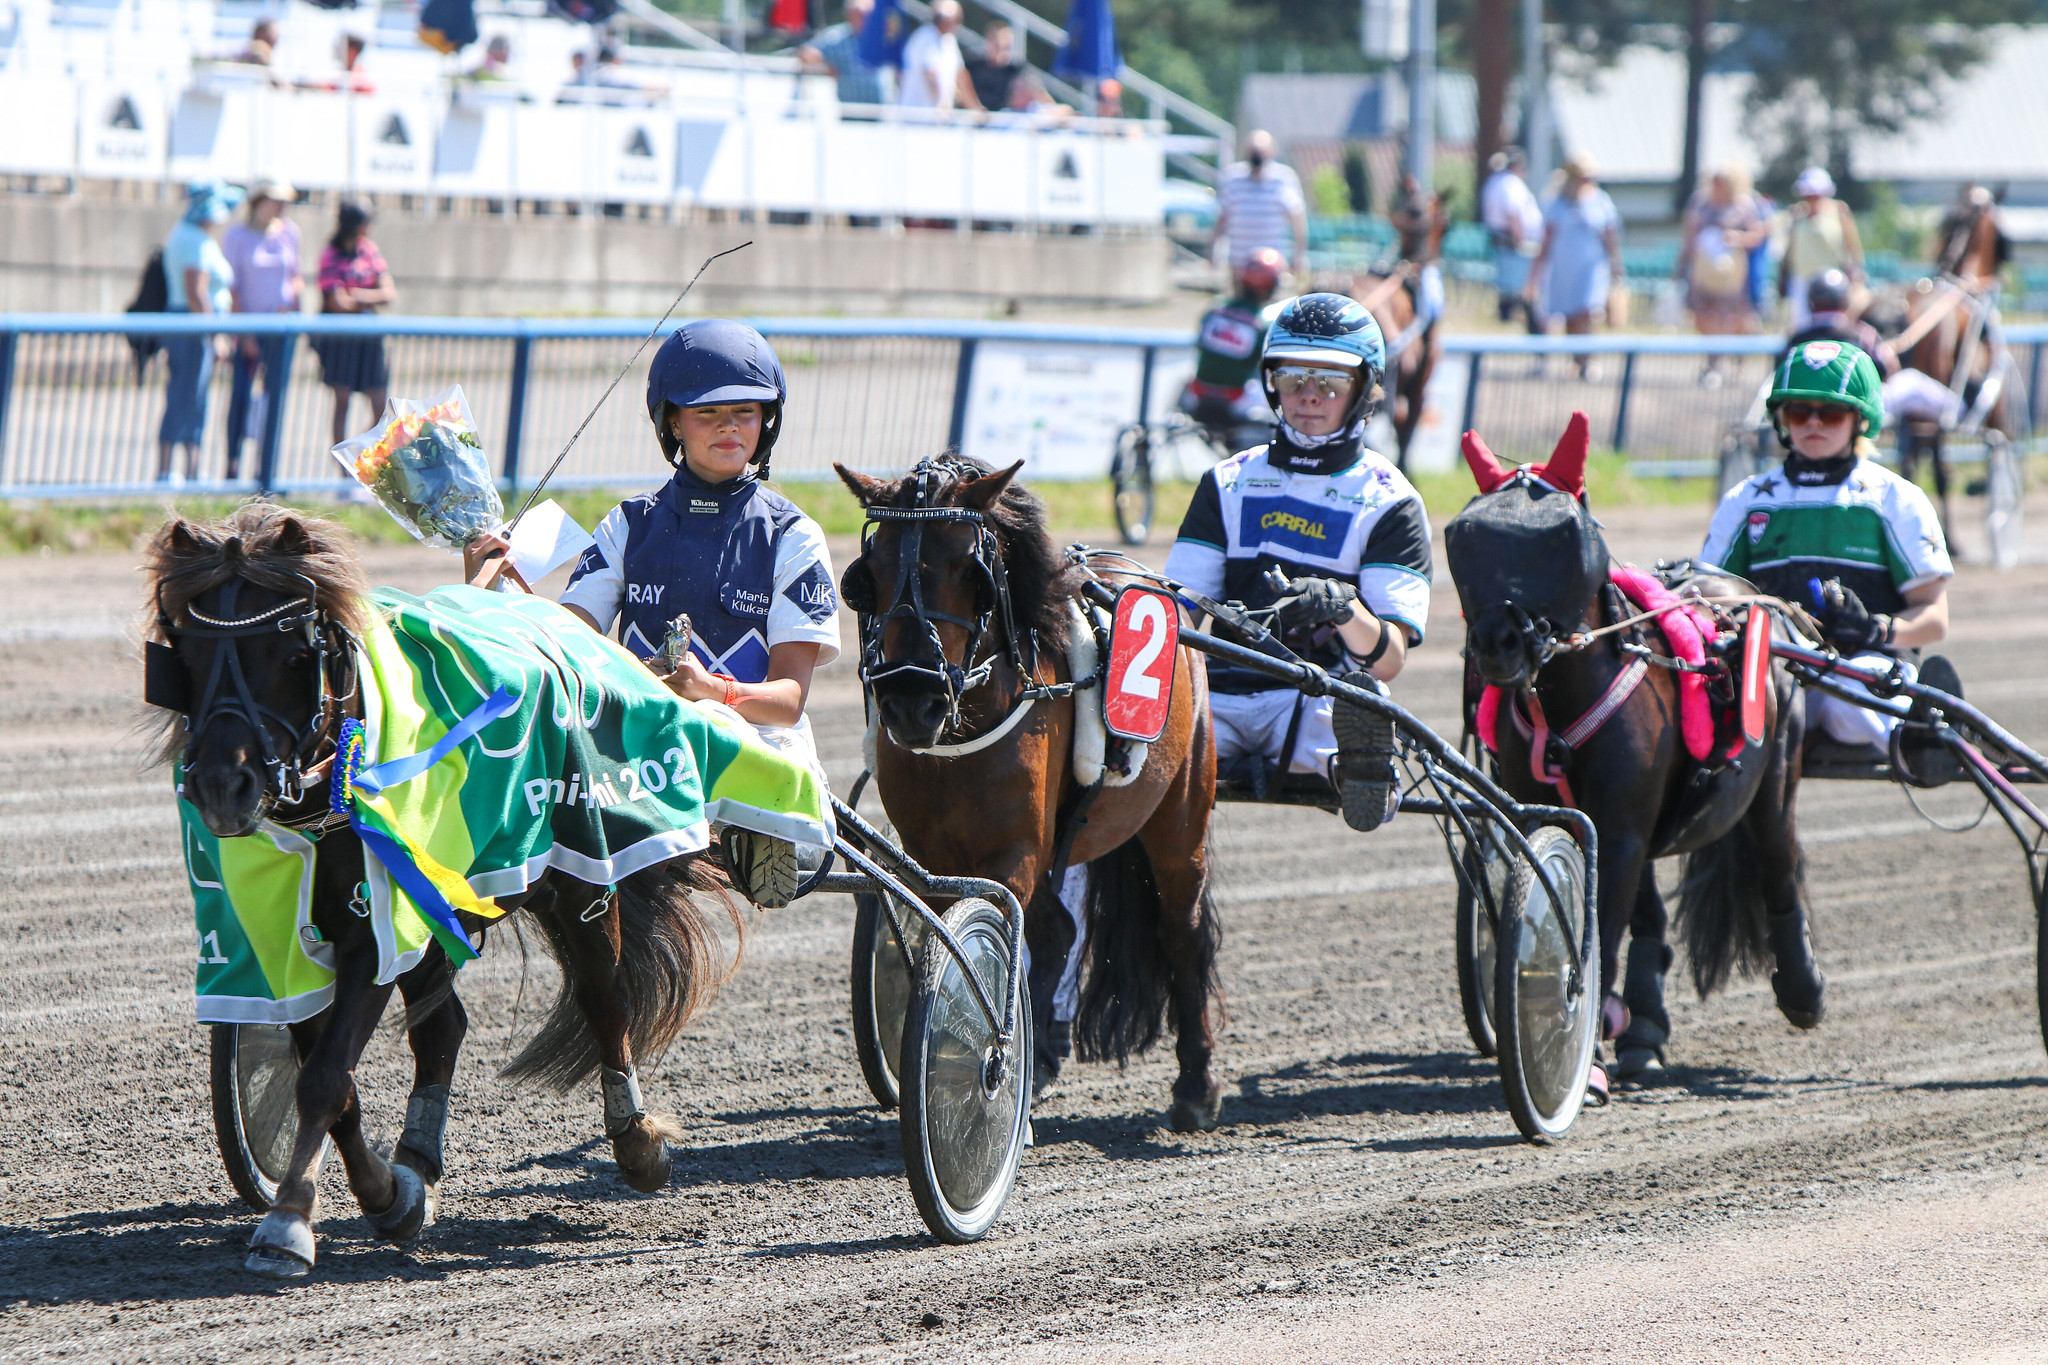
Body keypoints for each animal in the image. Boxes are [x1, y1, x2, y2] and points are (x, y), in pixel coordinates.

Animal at [149, 505, 745, 1285]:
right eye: (183, 648)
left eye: (288, 648)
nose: (223, 785)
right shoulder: (288, 940)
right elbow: (333, 1079)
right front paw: (385, 1193)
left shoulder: (374, 932)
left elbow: (324, 1078)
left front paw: (287, 1221)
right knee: (444, 1027)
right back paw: (417, 1158)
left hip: (580, 870)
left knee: (606, 998)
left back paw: (636, 1139)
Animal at [823, 458, 1220, 1129]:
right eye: (867, 575)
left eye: (970, 571)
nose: (910, 699)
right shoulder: (930, 856)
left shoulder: (1016, 854)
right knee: (1057, 931)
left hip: (1180, 815)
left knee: (1181, 929)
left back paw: (1197, 1086)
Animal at [1441, 417, 1826, 1096]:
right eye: (1467, 536)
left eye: (1563, 536)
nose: (1497, 642)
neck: (1562, 707)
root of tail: (1749, 600)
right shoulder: (1564, 814)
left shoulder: (1620, 828)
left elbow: (1602, 931)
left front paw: (1586, 1056)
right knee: (1650, 916)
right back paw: (1642, 1029)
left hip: (1775, 774)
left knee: (1778, 864)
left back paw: (1802, 991)